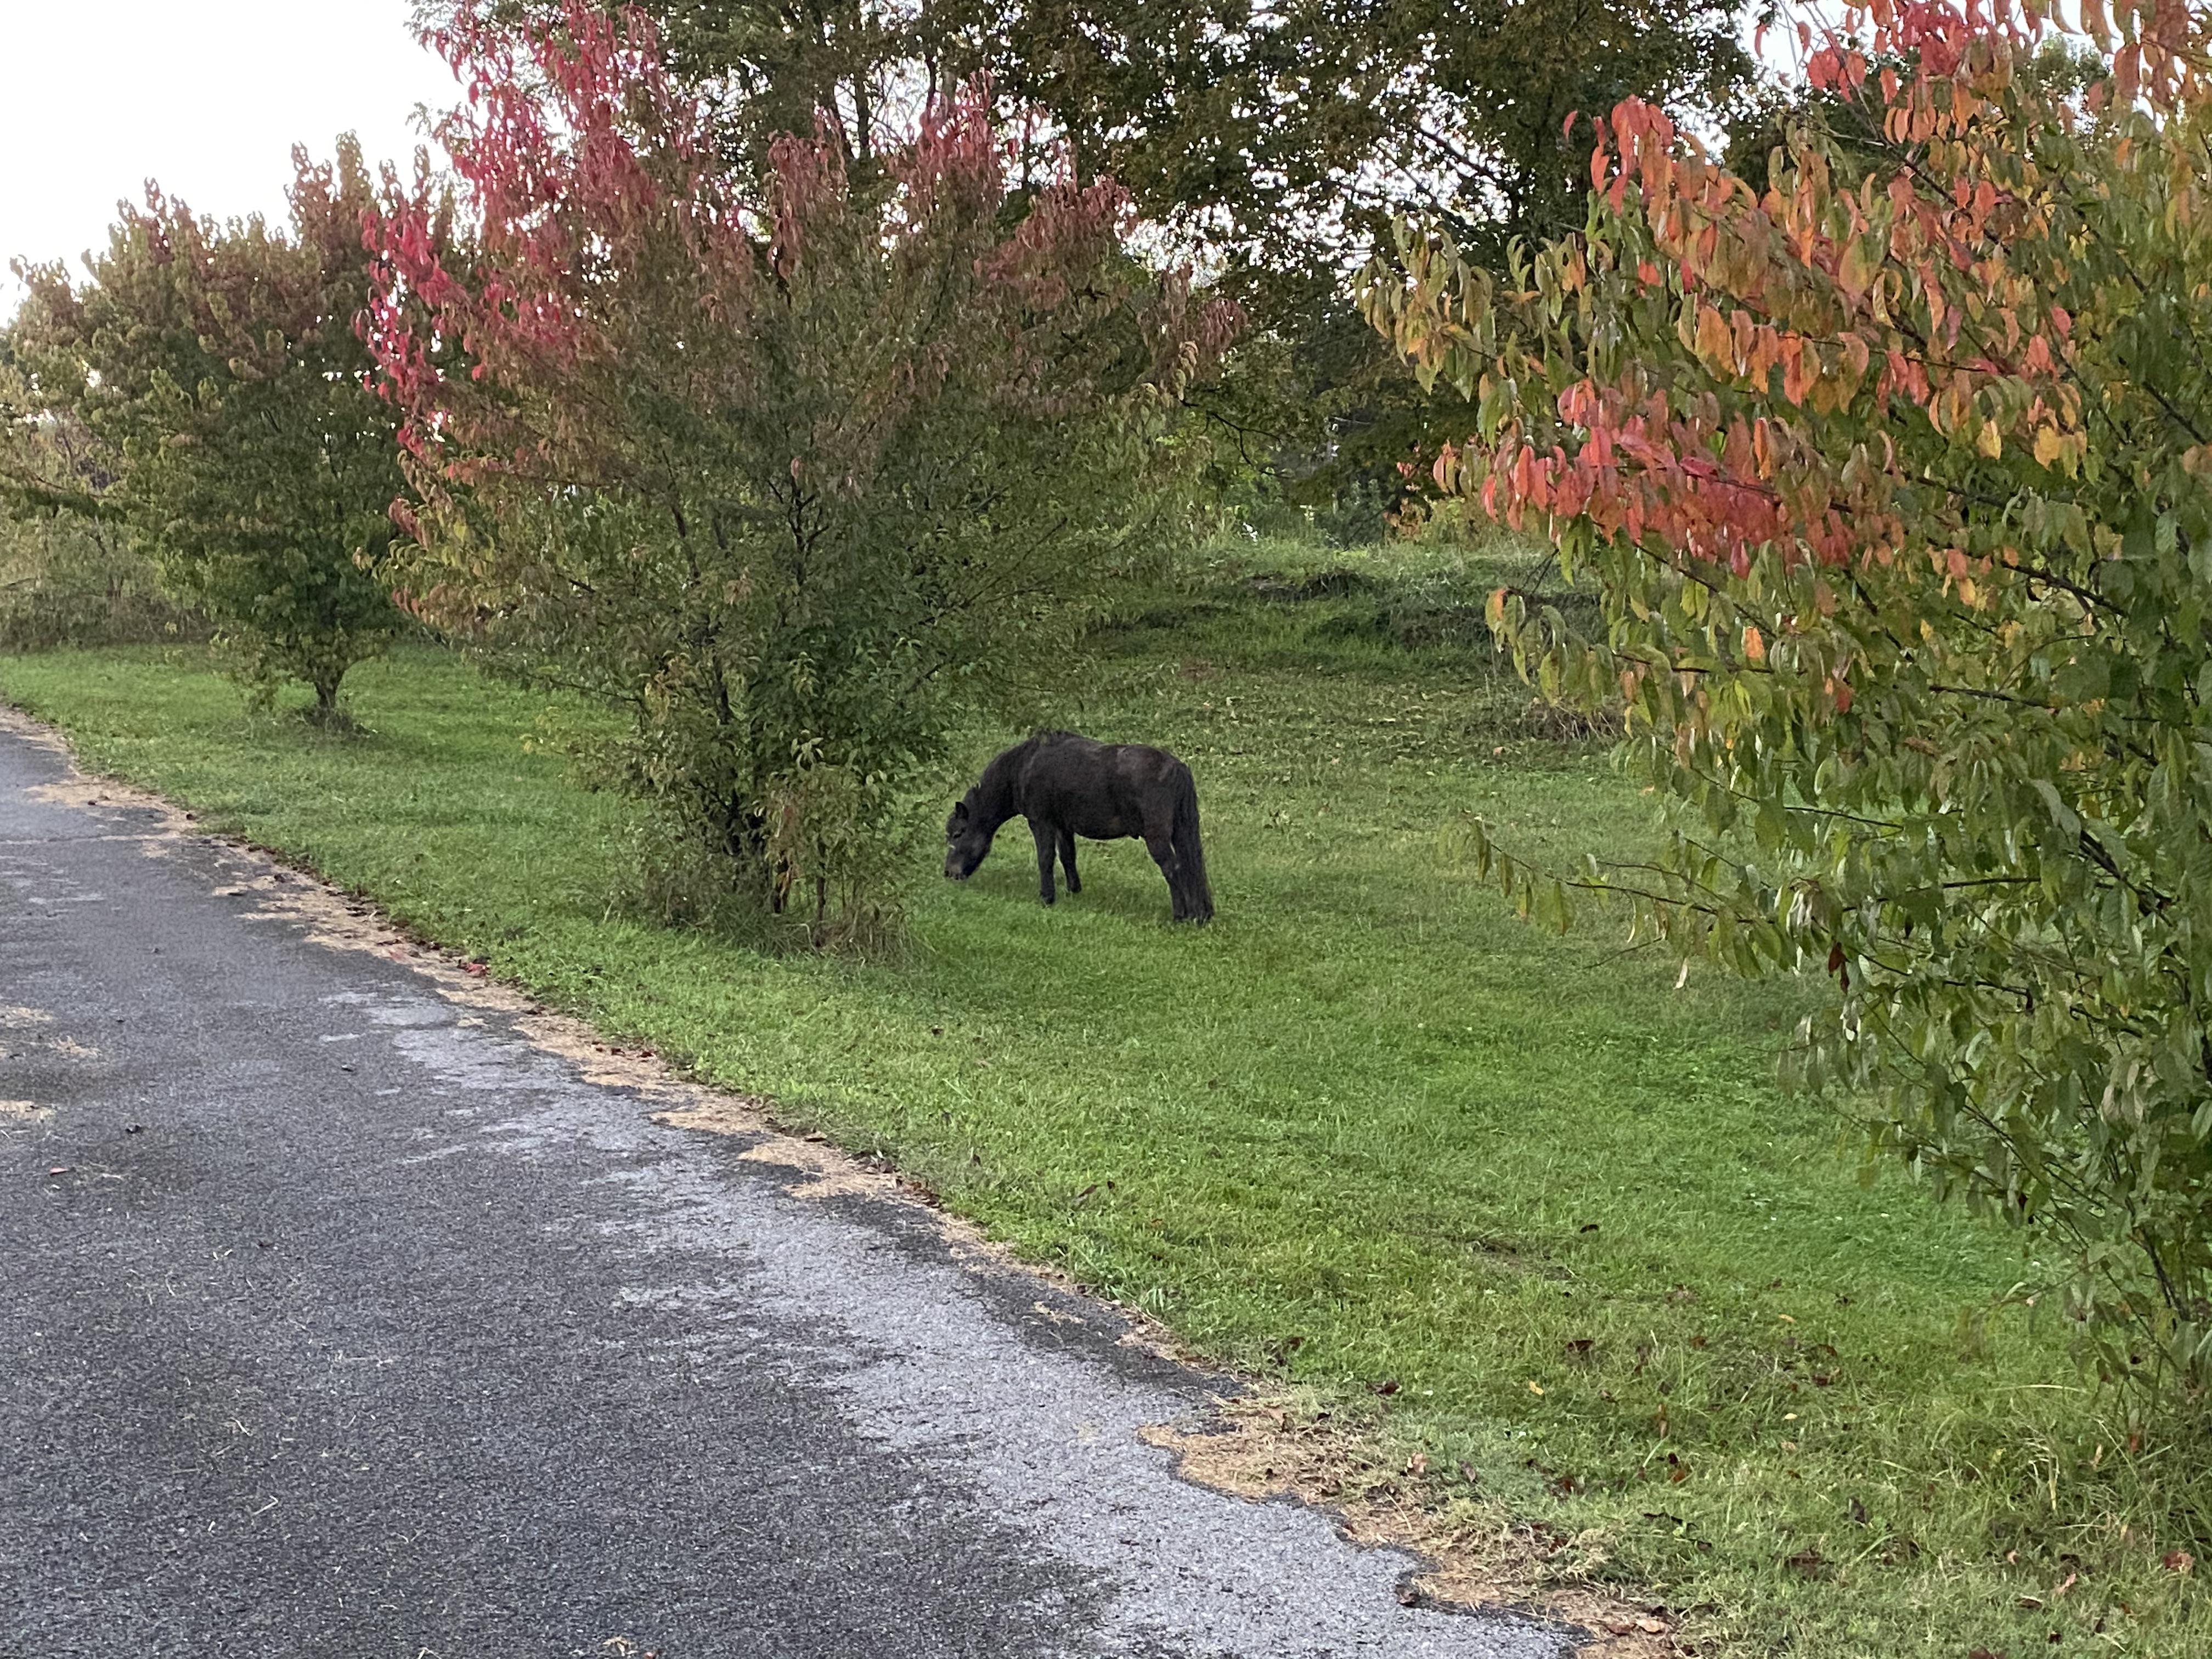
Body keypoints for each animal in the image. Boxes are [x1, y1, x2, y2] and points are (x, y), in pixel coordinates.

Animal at [944, 731, 1214, 922]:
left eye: (957, 834)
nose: (949, 873)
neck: (1024, 765)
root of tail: (1177, 767)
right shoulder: (1063, 826)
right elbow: (1068, 856)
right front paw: (1073, 890)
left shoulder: (1041, 822)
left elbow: (1046, 858)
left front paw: (1047, 897)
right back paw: (1200, 914)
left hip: (1157, 838)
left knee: (1173, 868)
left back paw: (1181, 914)